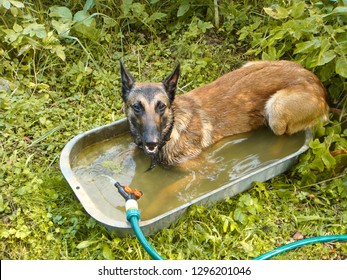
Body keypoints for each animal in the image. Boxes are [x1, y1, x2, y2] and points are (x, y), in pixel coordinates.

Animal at [121, 60, 330, 170]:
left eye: (161, 106)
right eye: (137, 107)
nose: (151, 142)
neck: (171, 129)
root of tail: (317, 83)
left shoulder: (197, 167)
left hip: (276, 109)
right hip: (249, 64)